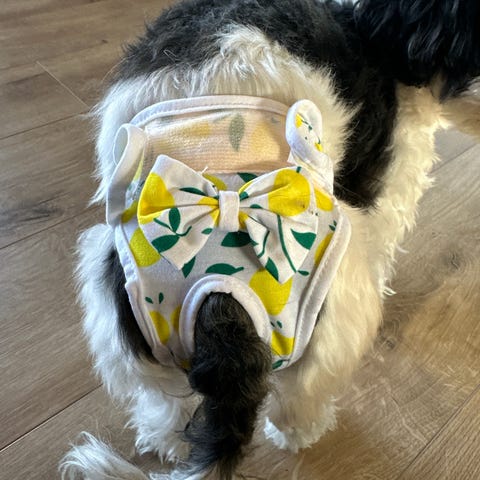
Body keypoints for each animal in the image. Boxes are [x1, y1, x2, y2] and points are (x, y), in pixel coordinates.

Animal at [61, 1, 480, 479]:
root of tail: (221, 305)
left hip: (120, 309)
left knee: (161, 396)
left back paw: (165, 438)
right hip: (336, 299)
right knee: (301, 394)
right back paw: (302, 432)